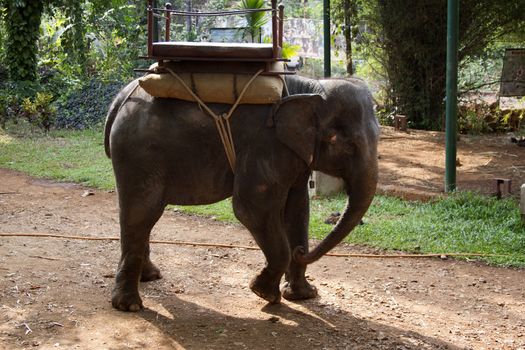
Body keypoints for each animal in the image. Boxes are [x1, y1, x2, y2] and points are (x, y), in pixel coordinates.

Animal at [104, 74, 378, 312]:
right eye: (344, 143)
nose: (301, 252)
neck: (312, 87)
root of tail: (121, 97)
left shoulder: (294, 154)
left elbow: (298, 208)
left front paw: (303, 295)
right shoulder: (265, 146)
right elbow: (252, 209)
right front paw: (263, 293)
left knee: (143, 216)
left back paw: (150, 277)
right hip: (139, 153)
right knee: (142, 212)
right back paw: (129, 305)